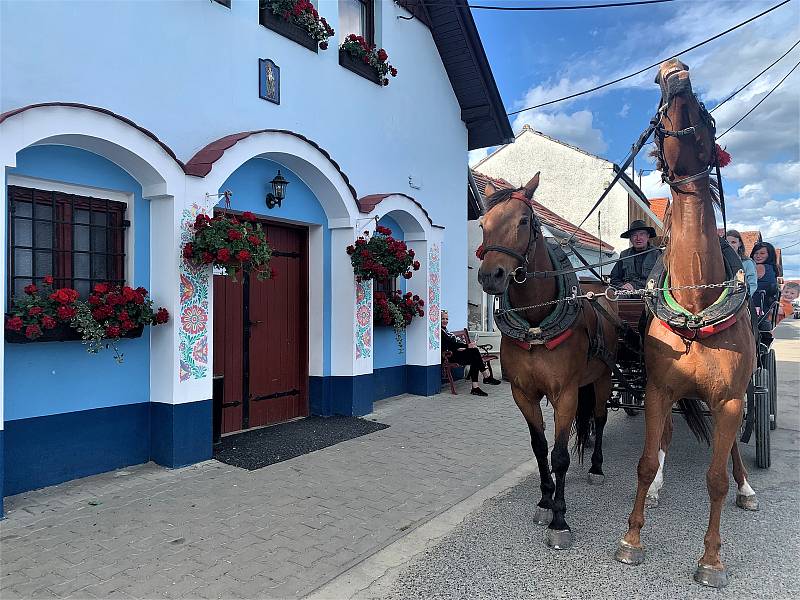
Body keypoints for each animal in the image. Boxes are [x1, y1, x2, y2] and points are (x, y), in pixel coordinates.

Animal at [476, 172, 620, 548]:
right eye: (483, 223)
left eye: (524, 221)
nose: (490, 276)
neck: (536, 320)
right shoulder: (523, 394)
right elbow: (540, 447)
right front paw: (544, 501)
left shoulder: (566, 395)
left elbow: (560, 455)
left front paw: (560, 519)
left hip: (601, 378)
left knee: (600, 420)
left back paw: (596, 467)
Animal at [616, 59, 760, 584]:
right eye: (658, 115)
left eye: (706, 114)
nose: (673, 71)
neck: (696, 304)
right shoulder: (659, 388)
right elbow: (643, 460)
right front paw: (632, 538)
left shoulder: (730, 400)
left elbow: (715, 478)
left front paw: (711, 559)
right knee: (666, 438)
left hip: (738, 398)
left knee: (732, 452)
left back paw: (747, 489)